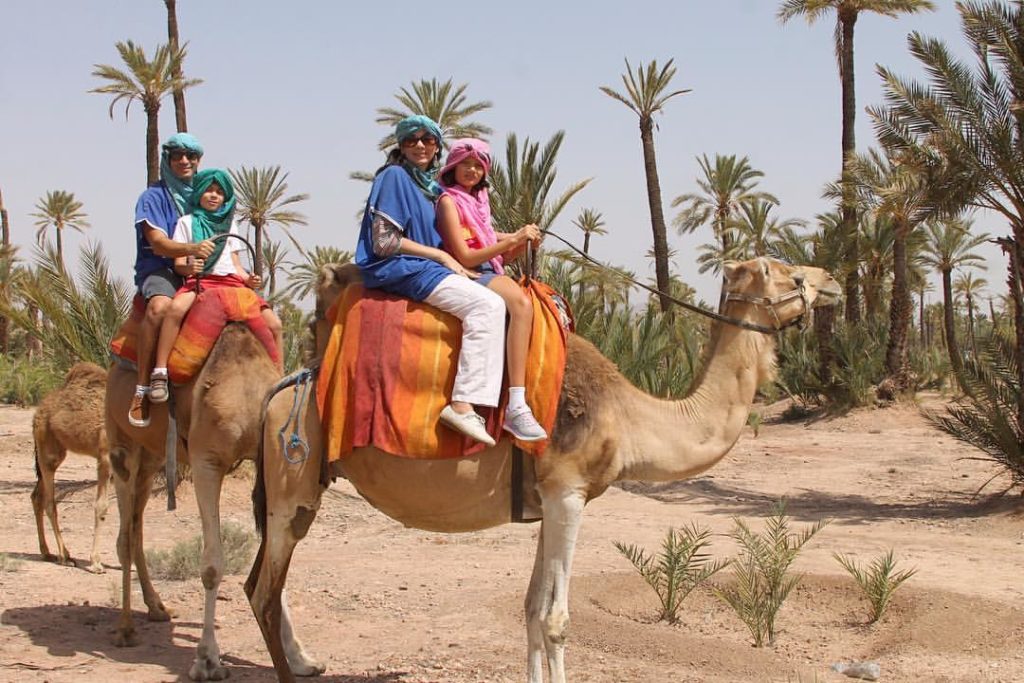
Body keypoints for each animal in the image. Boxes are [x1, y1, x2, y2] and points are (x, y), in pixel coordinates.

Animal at [32, 360, 110, 573]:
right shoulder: (106, 457)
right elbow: (101, 507)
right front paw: (96, 562)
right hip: (47, 450)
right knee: (49, 502)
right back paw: (64, 556)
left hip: (55, 450)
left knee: (36, 497)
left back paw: (47, 552)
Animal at [103, 323, 319, 679]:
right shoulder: (206, 461)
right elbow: (212, 565)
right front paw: (207, 660)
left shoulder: (265, 466)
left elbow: (274, 566)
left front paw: (301, 658)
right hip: (121, 442)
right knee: (123, 533)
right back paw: (125, 629)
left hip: (152, 457)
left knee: (136, 527)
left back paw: (157, 608)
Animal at [245, 258, 839, 683]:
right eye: (785, 270)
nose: (832, 281)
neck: (629, 415)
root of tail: (284, 389)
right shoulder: (567, 493)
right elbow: (555, 620)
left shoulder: (545, 504)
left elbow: (531, 609)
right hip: (293, 473)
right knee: (264, 592)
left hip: (298, 488)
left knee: (263, 579)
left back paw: (306, 661)